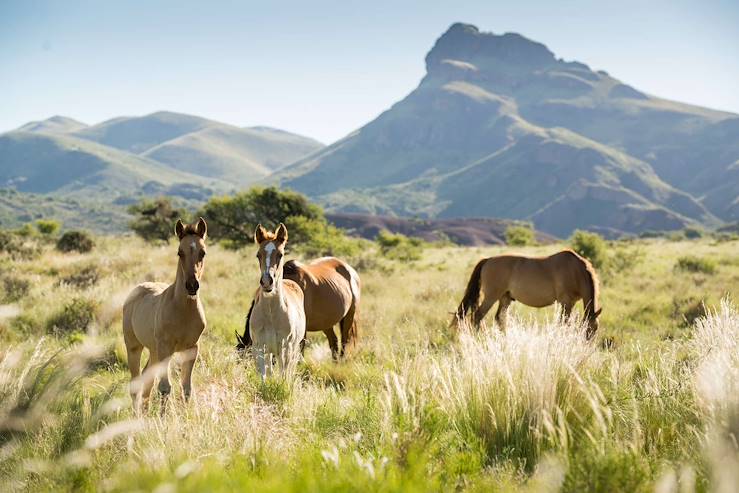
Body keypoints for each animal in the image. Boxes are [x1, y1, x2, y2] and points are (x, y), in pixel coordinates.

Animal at [122, 217, 208, 410]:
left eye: (203, 253)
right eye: (179, 252)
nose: (192, 285)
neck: (183, 311)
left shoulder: (192, 348)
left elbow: (186, 388)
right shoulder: (165, 348)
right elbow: (164, 387)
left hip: (154, 350)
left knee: (147, 379)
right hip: (134, 347)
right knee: (135, 385)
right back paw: (137, 414)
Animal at [249, 221, 306, 378]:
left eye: (280, 254)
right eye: (258, 255)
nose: (267, 282)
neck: (271, 316)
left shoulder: (285, 349)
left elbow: (283, 377)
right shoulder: (259, 348)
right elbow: (264, 376)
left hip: (293, 349)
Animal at [454, 250, 604, 338]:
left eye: (596, 329)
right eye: (587, 330)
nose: (587, 345)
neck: (575, 270)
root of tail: (488, 259)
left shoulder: (570, 303)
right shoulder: (566, 302)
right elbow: (563, 323)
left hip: (505, 298)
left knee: (499, 318)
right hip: (491, 297)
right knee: (478, 316)